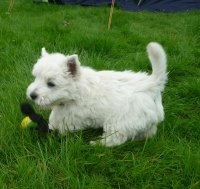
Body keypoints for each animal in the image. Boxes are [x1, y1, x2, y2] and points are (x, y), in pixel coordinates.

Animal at [26, 42, 167, 146]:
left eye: (51, 84)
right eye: (35, 77)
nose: (32, 95)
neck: (76, 91)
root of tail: (152, 83)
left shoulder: (73, 116)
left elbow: (60, 123)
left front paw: (51, 131)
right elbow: (54, 116)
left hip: (119, 121)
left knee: (115, 138)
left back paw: (96, 144)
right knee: (148, 132)